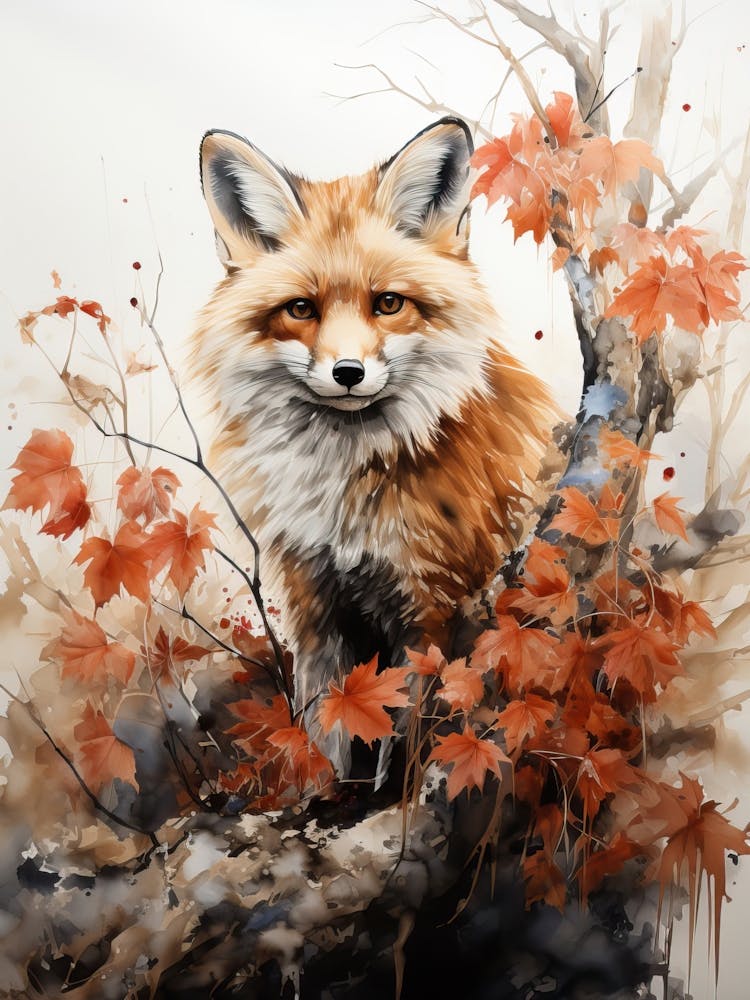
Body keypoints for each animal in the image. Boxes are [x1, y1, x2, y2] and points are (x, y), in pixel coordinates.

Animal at [190, 118, 556, 776]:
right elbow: (325, 727)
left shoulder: (433, 604)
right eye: (301, 309)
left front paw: (392, 795)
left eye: (388, 303)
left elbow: (406, 735)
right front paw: (322, 790)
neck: (346, 489)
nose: (348, 373)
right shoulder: (315, 605)